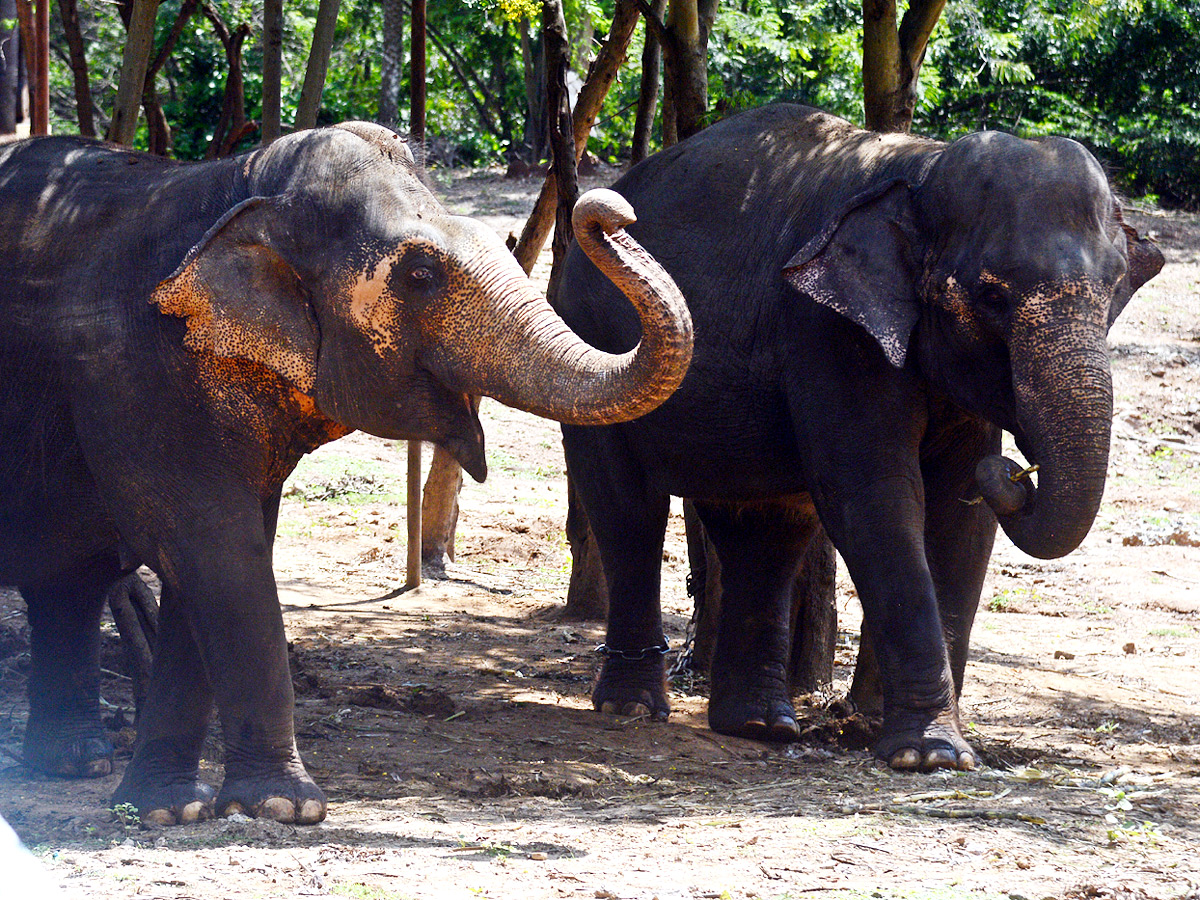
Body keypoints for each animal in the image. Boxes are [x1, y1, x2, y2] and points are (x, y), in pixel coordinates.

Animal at [0, 123, 696, 830]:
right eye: (420, 275)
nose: (609, 211)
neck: (235, 185)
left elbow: (219, 553)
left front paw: (174, 811)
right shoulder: (126, 372)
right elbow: (213, 549)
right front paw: (286, 807)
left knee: (67, 583)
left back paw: (73, 765)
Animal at [559, 102, 1161, 772]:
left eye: (1115, 289)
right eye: (991, 296)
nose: (1011, 469)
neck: (921, 168)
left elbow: (959, 517)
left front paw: (904, 735)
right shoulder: (825, 330)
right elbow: (877, 499)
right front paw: (930, 756)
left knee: (763, 529)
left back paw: (761, 726)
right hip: (592, 345)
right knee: (629, 510)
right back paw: (634, 708)